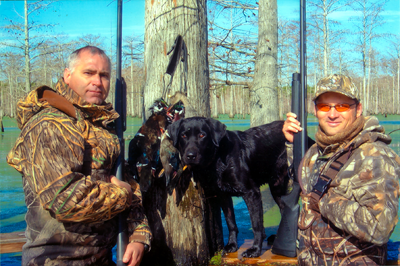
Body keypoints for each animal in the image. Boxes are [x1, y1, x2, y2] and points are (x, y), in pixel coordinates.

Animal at [166, 117, 290, 258]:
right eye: (183, 135)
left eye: (202, 135)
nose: (190, 155)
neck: (218, 158)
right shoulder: (223, 195)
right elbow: (230, 222)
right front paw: (232, 245)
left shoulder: (252, 193)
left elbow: (256, 224)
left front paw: (255, 250)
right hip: (277, 188)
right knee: (283, 208)